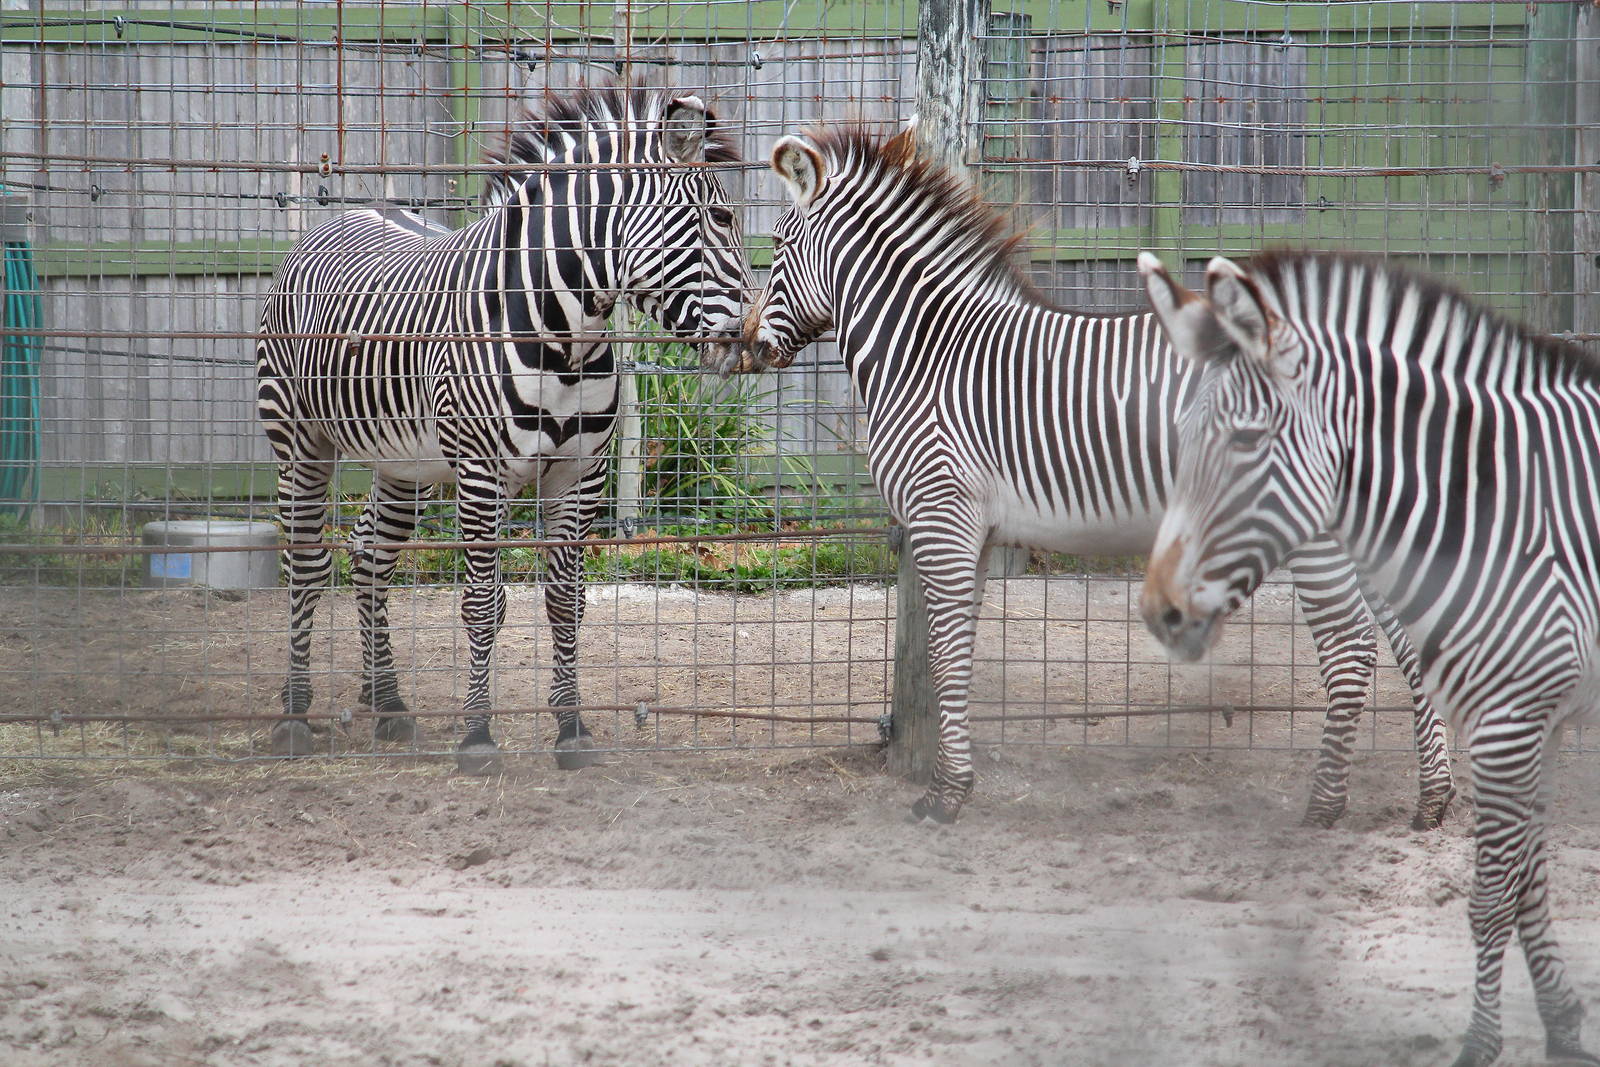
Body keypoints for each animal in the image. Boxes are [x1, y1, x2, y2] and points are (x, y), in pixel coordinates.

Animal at [256, 84, 751, 774]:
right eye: (723, 218)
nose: (750, 341)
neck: (566, 339)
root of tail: (349, 212)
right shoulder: (480, 474)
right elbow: (482, 605)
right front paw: (477, 736)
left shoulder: (579, 476)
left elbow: (566, 602)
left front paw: (571, 729)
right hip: (300, 439)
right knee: (304, 561)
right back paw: (295, 712)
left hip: (405, 463)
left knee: (369, 554)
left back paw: (388, 703)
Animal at [732, 123, 1455, 828]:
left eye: (779, 243)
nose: (747, 345)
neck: (927, 350)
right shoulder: (975, 532)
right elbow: (961, 649)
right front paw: (957, 782)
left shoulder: (942, 518)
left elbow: (944, 653)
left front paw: (944, 796)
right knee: (1406, 635)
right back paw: (1432, 797)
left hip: (1311, 527)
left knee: (1352, 647)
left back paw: (1324, 806)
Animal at [1139, 249, 1600, 1067]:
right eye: (1181, 436)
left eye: (1246, 442)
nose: (1160, 608)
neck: (1495, 512)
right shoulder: (1530, 724)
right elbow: (1527, 887)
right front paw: (1563, 1024)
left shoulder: (1510, 724)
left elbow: (1491, 898)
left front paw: (1480, 1043)